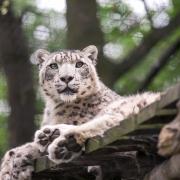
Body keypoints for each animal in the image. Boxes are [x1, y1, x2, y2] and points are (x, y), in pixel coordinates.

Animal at [0, 45, 160, 180]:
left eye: (79, 64)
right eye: (53, 66)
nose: (66, 78)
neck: (53, 107)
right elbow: (14, 150)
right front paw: (9, 169)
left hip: (122, 108)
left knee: (107, 125)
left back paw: (64, 143)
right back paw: (49, 135)